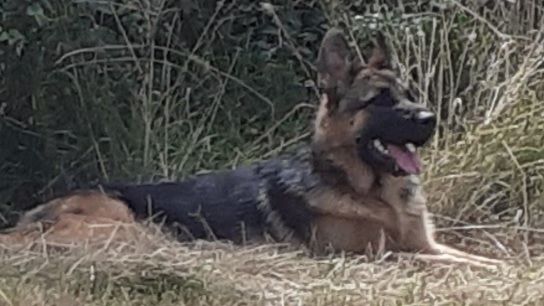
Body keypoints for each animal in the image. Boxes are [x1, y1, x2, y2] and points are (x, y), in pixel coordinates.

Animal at [0, 28, 502, 268]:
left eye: (409, 94)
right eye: (379, 101)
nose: (430, 120)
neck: (369, 191)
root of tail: (26, 220)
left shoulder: (426, 246)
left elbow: (481, 260)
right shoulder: (380, 256)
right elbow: (449, 266)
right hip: (135, 230)